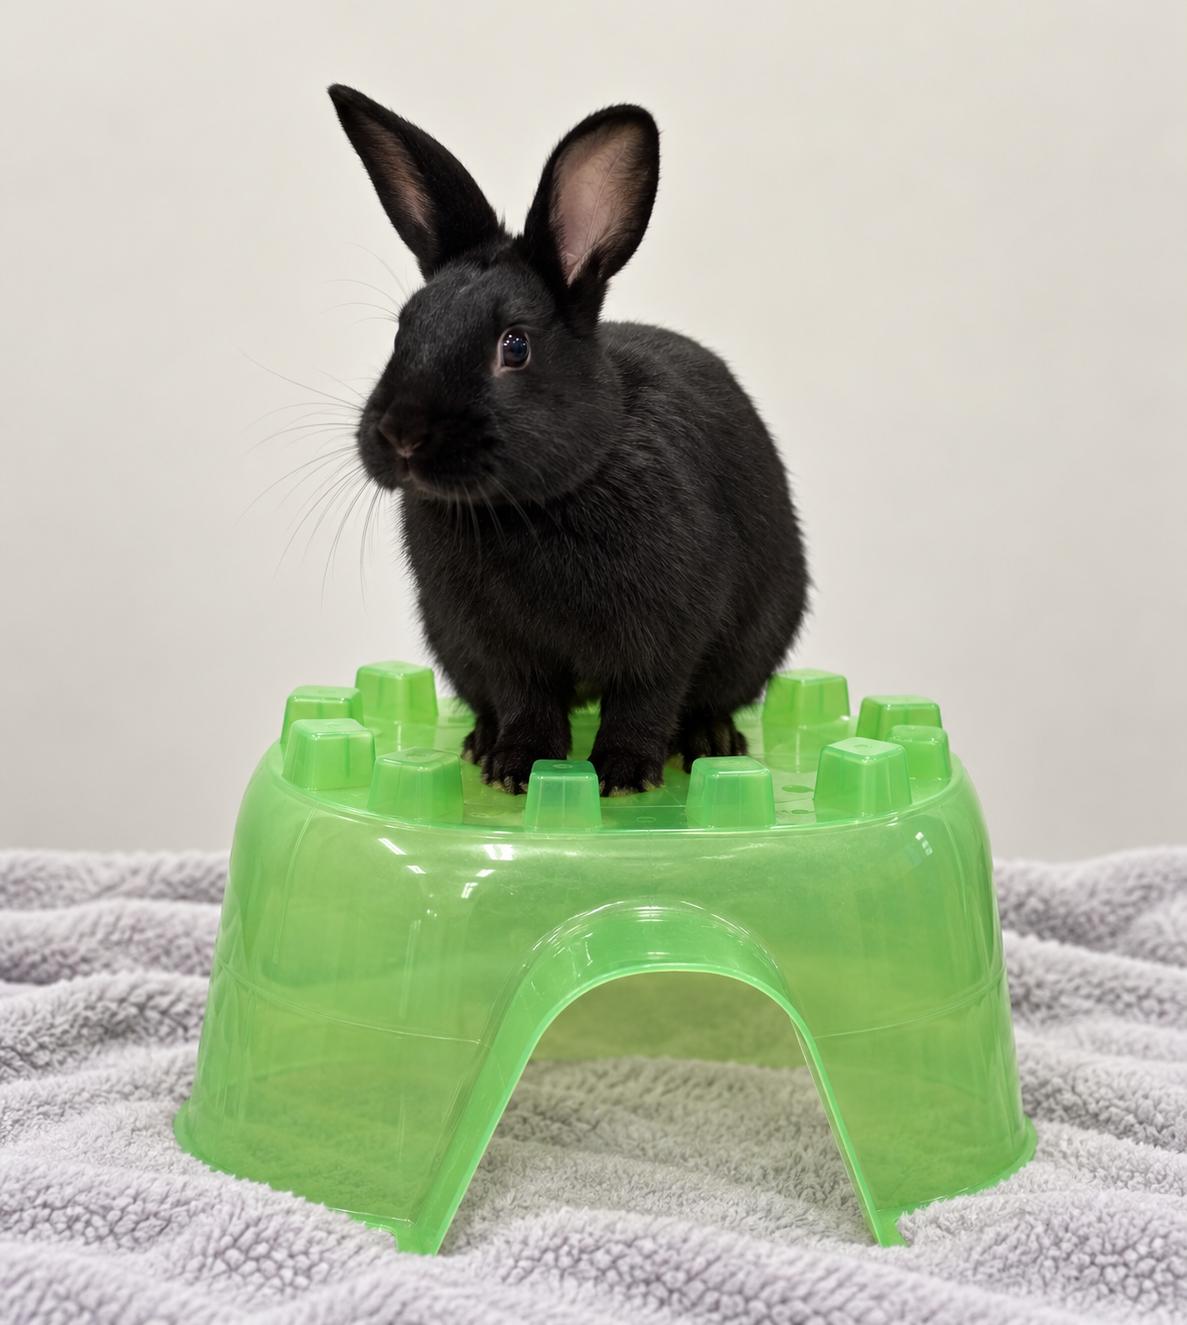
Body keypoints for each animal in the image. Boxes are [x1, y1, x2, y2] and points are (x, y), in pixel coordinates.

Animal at [329, 85, 809, 795]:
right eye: (402, 330)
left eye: (515, 346)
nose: (401, 435)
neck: (529, 507)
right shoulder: (497, 647)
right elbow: (525, 700)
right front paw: (517, 768)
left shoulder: (666, 635)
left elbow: (644, 701)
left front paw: (624, 776)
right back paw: (479, 742)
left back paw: (711, 742)